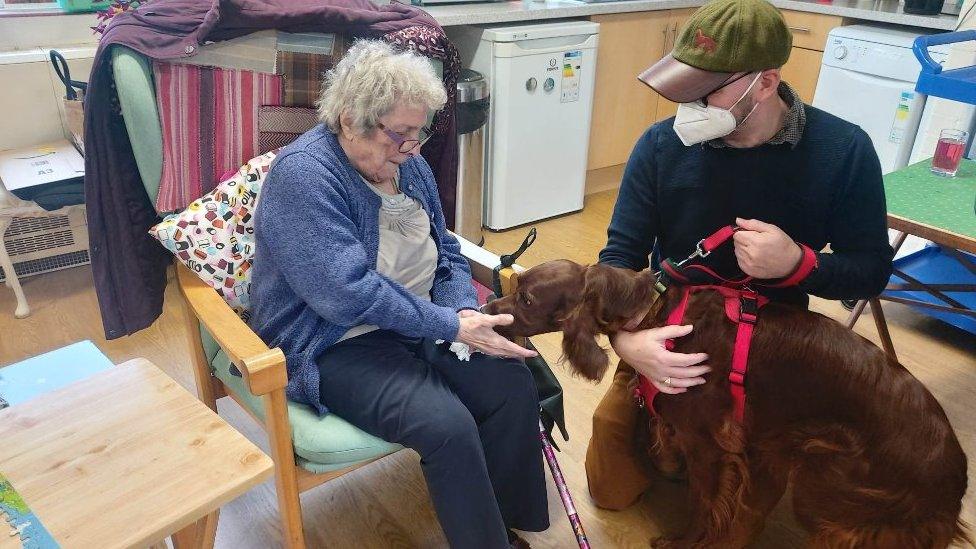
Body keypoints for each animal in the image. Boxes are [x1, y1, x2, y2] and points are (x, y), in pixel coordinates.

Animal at [488, 260, 968, 544]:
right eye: (517, 286)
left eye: (526, 297)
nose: (489, 305)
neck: (655, 315)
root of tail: (954, 472)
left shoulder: (709, 450)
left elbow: (704, 505)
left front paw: (682, 542)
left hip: (829, 489)